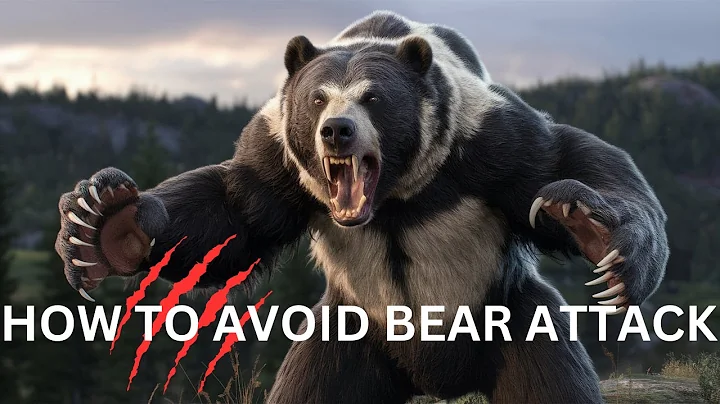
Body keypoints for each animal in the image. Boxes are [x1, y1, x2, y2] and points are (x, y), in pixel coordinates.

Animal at [55, 11, 669, 404]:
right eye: (318, 96)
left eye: (374, 96)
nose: (337, 131)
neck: (394, 202)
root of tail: (436, 381)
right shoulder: (279, 159)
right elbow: (229, 216)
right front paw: (105, 222)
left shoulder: (484, 141)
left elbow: (562, 158)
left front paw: (594, 230)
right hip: (350, 339)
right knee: (310, 390)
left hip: (505, 315)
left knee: (549, 376)